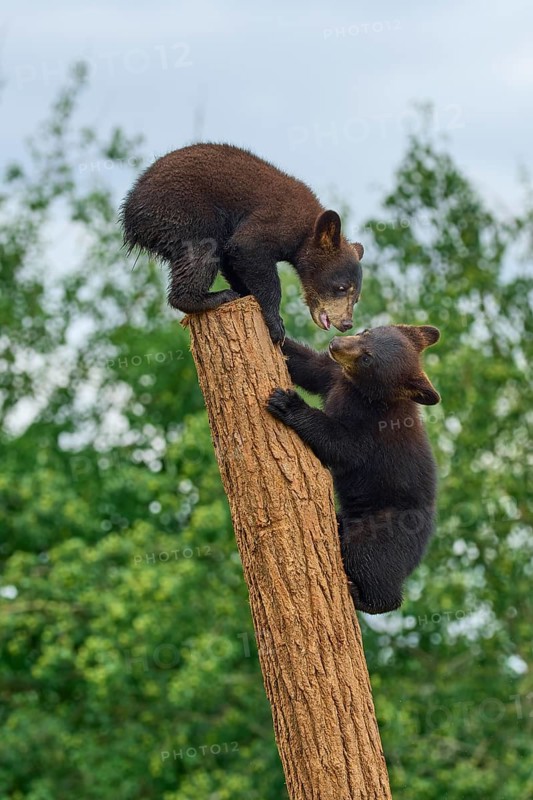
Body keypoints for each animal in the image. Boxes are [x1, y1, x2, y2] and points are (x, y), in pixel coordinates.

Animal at [120, 143, 364, 343]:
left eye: (357, 298)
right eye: (341, 287)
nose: (347, 323)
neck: (307, 228)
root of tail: (130, 212)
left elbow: (232, 257)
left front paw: (246, 292)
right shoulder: (276, 219)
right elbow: (247, 247)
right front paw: (276, 324)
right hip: (182, 211)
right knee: (202, 251)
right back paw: (213, 297)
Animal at [267, 324, 441, 614]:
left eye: (368, 359)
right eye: (366, 331)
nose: (335, 344)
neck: (365, 394)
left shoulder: (372, 428)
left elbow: (341, 444)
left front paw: (290, 404)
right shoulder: (334, 375)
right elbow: (307, 364)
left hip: (387, 529)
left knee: (369, 561)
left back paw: (364, 597)